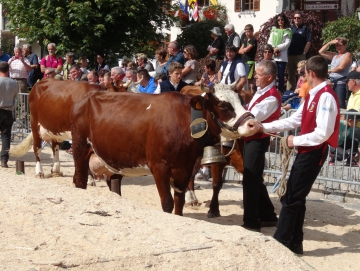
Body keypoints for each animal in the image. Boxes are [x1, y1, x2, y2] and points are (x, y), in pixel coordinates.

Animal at [71, 84, 262, 215]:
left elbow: (179, 202)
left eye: (242, 101)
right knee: (79, 181)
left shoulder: (184, 169)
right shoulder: (159, 167)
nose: (254, 124)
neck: (184, 122)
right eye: (223, 105)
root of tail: (87, 97)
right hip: (80, 149)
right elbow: (167, 203)